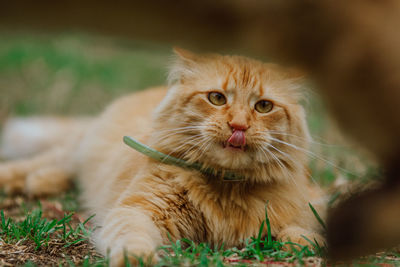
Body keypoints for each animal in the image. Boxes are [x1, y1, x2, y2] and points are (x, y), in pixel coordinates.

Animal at [0, 49, 324, 266]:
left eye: (263, 106)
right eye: (217, 98)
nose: (239, 126)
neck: (225, 190)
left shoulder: (306, 206)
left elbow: (302, 232)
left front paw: (302, 243)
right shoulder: (137, 211)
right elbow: (132, 238)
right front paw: (138, 258)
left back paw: (41, 182)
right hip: (81, 145)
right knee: (50, 159)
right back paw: (22, 180)